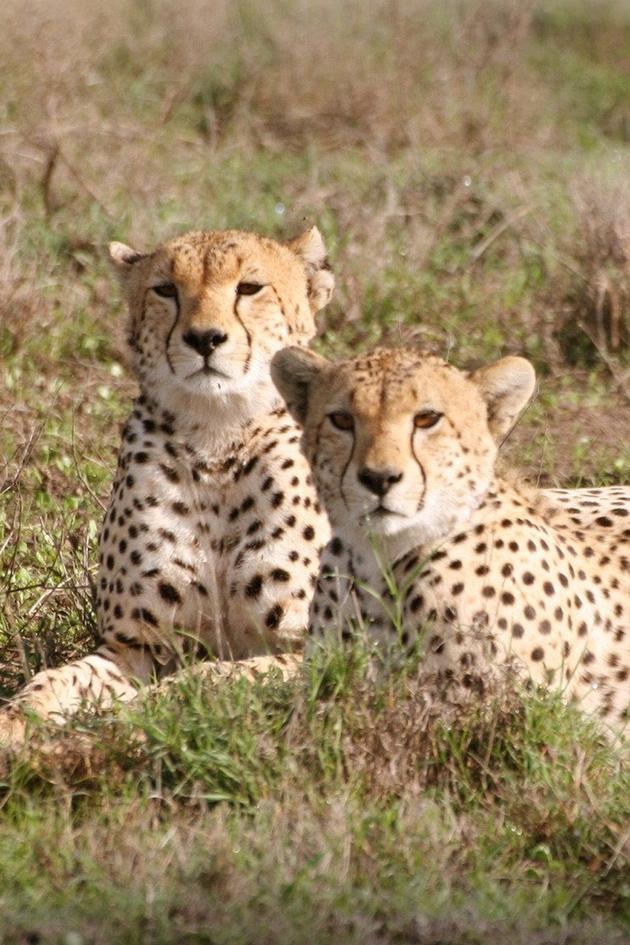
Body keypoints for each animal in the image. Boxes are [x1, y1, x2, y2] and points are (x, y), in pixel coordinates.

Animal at [0, 227, 334, 748]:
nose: (204, 338)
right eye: (165, 290)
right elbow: (58, 680)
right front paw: (18, 718)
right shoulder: (132, 647)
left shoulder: (319, 650)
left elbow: (222, 676)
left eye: (250, 288)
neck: (218, 435)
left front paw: (152, 708)